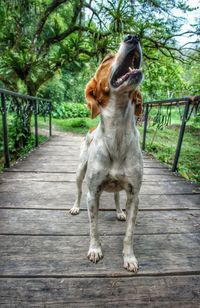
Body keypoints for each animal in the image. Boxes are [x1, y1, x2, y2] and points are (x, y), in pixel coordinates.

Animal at [69, 35, 143, 272]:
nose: (133, 36)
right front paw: (95, 250)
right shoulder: (93, 193)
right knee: (78, 191)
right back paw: (75, 207)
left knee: (118, 196)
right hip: (79, 172)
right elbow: (94, 227)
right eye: (106, 59)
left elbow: (129, 233)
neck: (118, 132)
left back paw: (119, 211)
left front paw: (129, 257)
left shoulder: (134, 194)